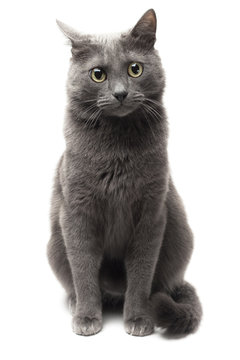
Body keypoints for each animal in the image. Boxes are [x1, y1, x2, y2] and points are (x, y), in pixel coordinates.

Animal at [47, 9, 202, 338]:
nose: (120, 93)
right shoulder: (76, 212)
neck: (117, 149)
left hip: (180, 235)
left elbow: (142, 271)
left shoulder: (151, 211)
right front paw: (87, 317)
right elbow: (83, 267)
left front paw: (139, 319)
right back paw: (76, 303)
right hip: (54, 242)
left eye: (135, 69)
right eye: (98, 74)